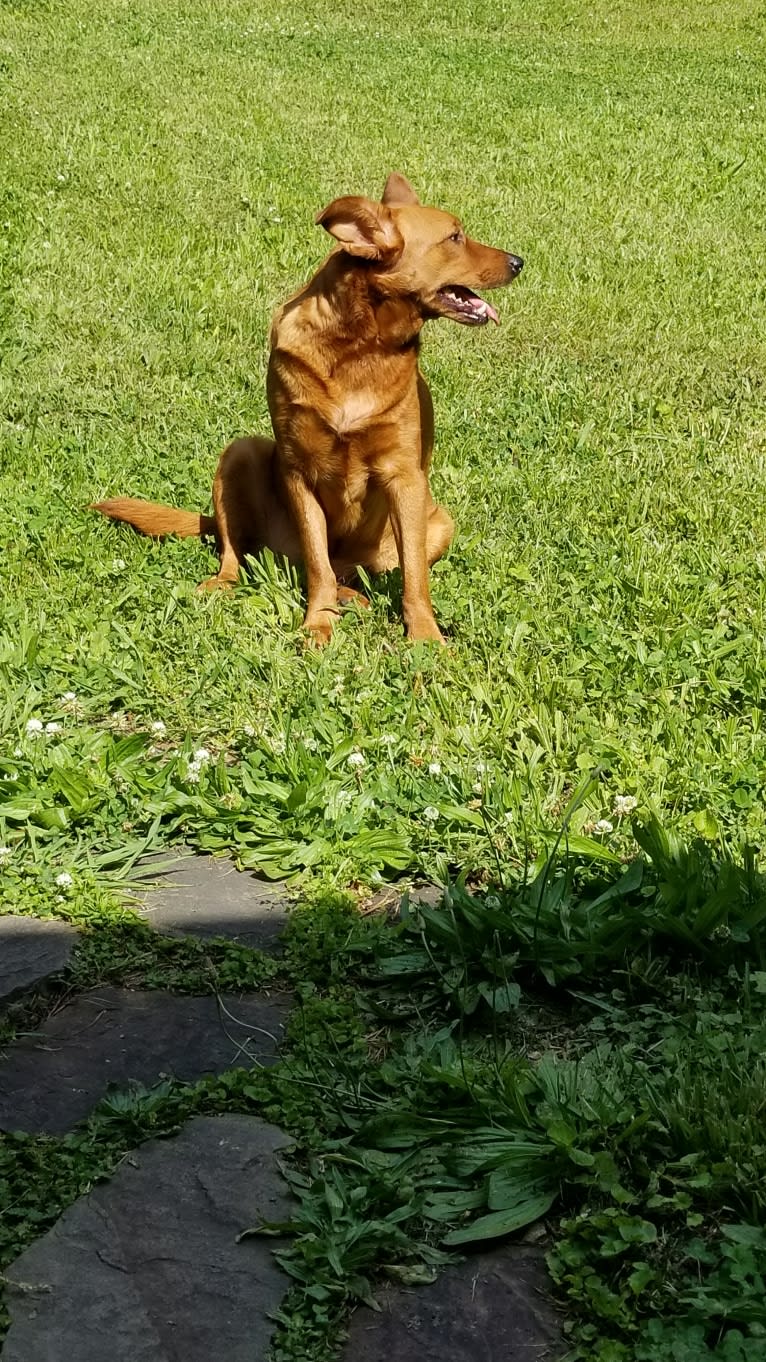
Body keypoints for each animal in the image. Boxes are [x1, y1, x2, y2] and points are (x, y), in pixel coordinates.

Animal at [92, 175, 520, 642]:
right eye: (455, 237)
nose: (518, 261)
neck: (361, 349)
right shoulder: (300, 470)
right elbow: (317, 566)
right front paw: (319, 623)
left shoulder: (405, 476)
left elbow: (414, 578)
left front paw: (425, 637)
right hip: (240, 453)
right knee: (241, 555)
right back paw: (233, 585)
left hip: (438, 521)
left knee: (362, 570)